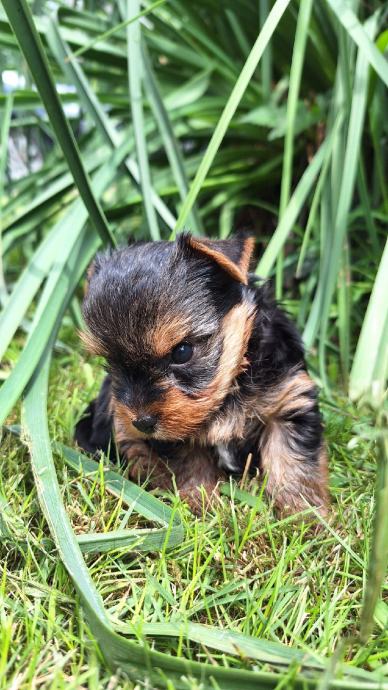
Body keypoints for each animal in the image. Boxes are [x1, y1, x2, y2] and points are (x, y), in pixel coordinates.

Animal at [75, 234, 328, 512]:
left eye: (182, 352)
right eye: (111, 362)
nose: (142, 422)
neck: (232, 382)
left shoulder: (289, 399)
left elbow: (292, 461)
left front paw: (304, 512)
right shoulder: (173, 434)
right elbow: (190, 462)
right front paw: (202, 503)